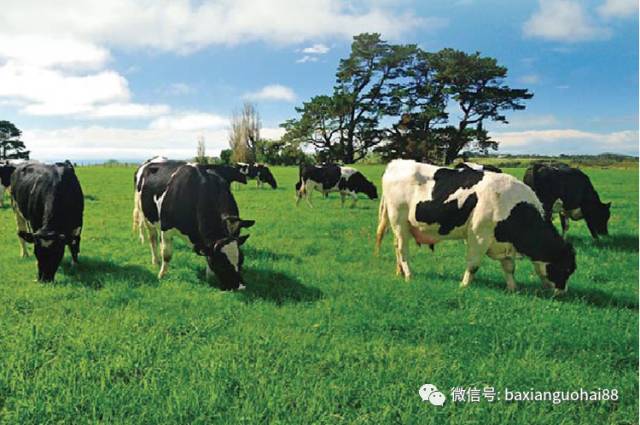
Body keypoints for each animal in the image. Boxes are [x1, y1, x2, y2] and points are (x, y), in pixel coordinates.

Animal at [376, 159, 576, 292]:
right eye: (566, 268)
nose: (562, 292)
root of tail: (396, 163)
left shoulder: (503, 242)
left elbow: (509, 267)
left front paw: (513, 288)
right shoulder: (479, 235)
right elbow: (473, 265)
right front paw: (464, 285)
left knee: (396, 247)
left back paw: (400, 273)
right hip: (399, 222)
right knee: (403, 250)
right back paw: (409, 275)